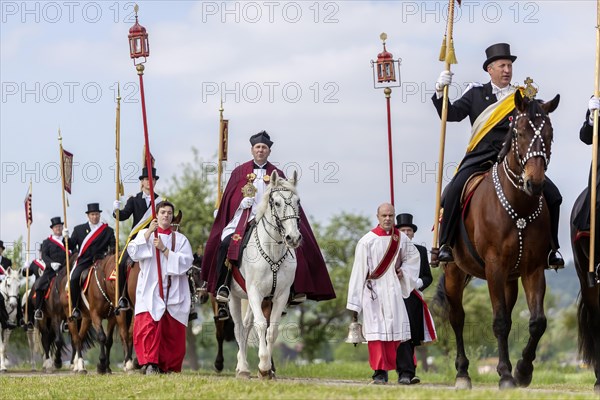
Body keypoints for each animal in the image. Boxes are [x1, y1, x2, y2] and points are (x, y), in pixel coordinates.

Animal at [232, 171, 302, 378]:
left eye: (298, 201)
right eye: (276, 203)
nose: (293, 238)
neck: (273, 252)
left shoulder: (280, 295)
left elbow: (273, 330)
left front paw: (268, 369)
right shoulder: (255, 292)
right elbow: (261, 324)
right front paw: (263, 365)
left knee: (246, 325)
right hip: (234, 296)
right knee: (239, 328)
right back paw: (243, 367)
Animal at [434, 91, 560, 390]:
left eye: (549, 134)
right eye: (520, 132)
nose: (534, 183)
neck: (520, 206)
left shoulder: (533, 269)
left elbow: (537, 321)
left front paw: (523, 371)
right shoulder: (494, 267)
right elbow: (500, 321)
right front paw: (504, 374)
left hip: (510, 279)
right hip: (455, 271)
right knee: (457, 317)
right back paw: (462, 373)